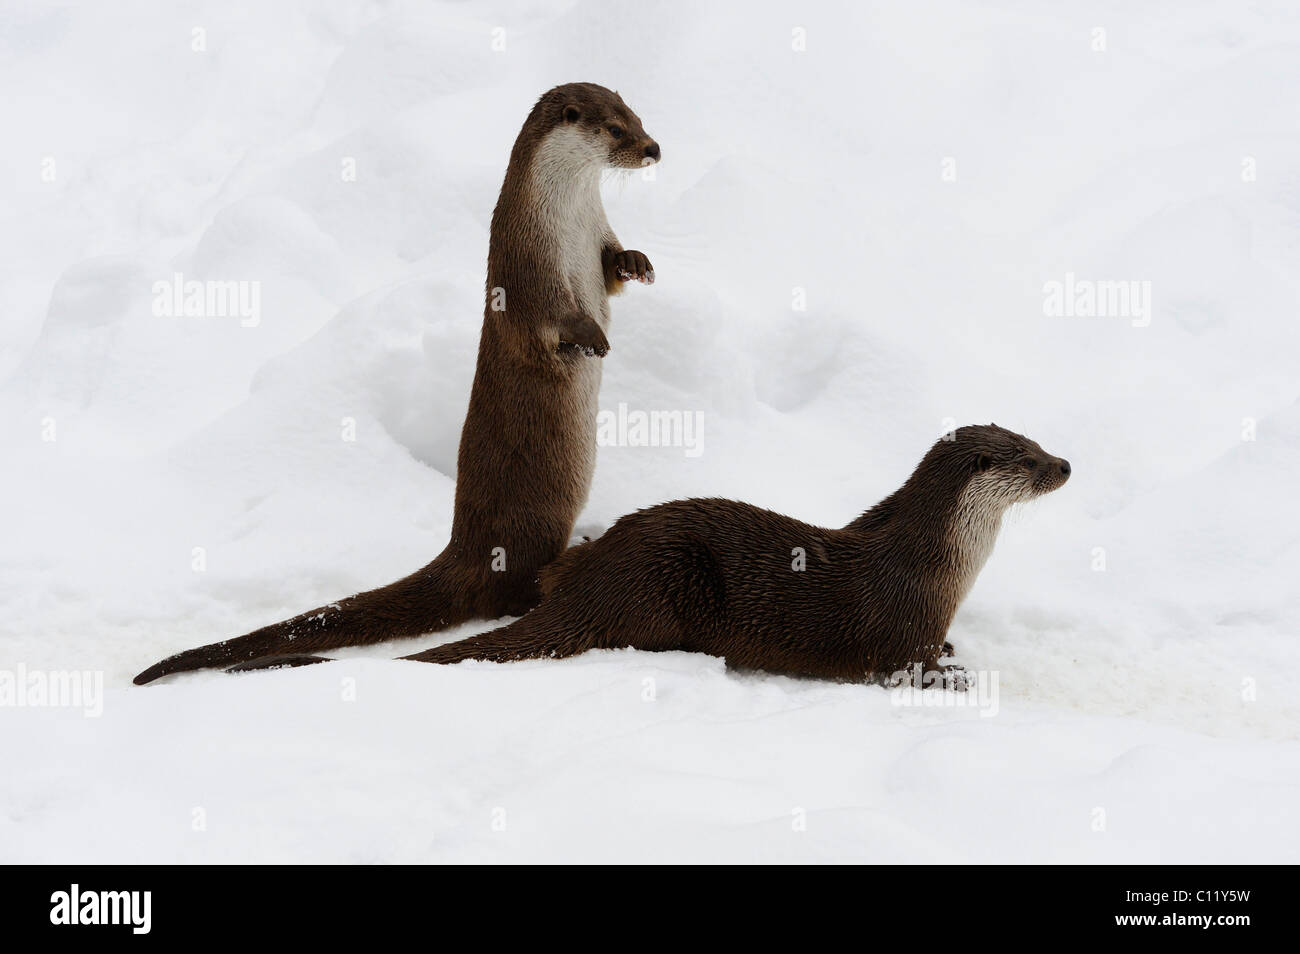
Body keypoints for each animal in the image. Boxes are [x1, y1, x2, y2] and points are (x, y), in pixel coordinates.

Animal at [134, 82, 660, 686]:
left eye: (638, 116)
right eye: (616, 130)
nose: (653, 148)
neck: (568, 223)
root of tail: (464, 548)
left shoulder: (597, 238)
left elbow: (614, 271)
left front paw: (639, 262)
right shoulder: (529, 268)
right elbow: (552, 320)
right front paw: (593, 338)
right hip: (533, 522)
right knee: (509, 591)